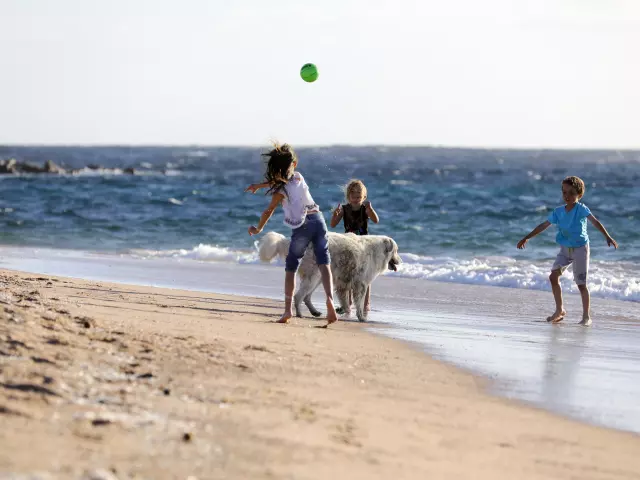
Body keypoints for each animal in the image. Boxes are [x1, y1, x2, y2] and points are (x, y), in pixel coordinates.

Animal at [256, 231, 400, 320]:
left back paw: (314, 312)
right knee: (298, 296)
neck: (377, 251)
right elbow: (357, 303)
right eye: (396, 251)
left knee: (306, 297)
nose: (400, 261)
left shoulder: (345, 282)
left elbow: (345, 300)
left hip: (318, 277)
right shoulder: (360, 284)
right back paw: (299, 314)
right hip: (314, 277)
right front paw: (361, 317)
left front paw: (342, 310)